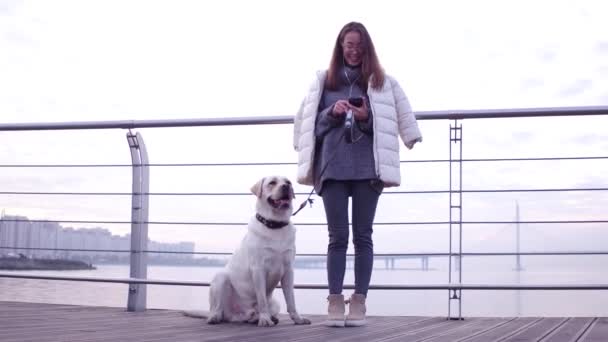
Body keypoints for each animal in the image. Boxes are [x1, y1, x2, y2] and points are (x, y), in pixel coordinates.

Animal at [188, 175, 312, 328]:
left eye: (288, 182)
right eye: (272, 183)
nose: (286, 187)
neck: (275, 225)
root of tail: (240, 314)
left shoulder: (288, 270)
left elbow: (291, 300)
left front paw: (297, 319)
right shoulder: (258, 269)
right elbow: (262, 299)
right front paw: (265, 319)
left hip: (275, 303)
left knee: (252, 315)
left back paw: (261, 318)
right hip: (221, 278)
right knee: (218, 309)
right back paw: (216, 317)